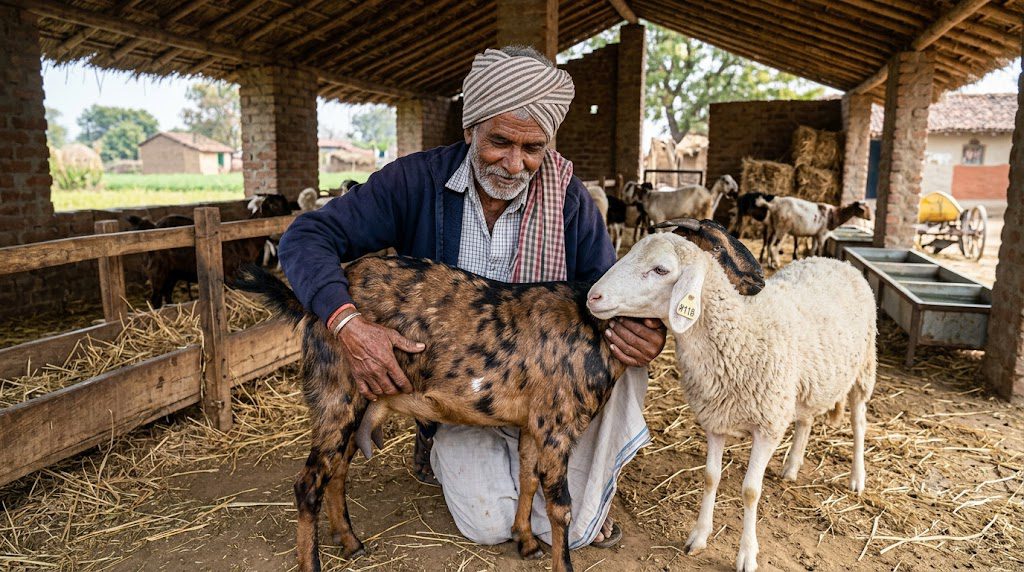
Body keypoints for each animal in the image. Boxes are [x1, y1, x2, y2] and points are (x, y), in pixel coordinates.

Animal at [233, 249, 763, 572]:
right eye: (661, 267)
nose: (756, 282)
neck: (593, 326)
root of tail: (309, 301)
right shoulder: (557, 423)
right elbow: (561, 505)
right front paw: (559, 560)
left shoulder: (534, 424)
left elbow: (527, 478)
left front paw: (524, 541)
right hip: (336, 391)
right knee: (308, 482)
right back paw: (314, 561)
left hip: (358, 401)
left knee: (336, 470)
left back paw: (350, 541)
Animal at [586, 219, 876, 572]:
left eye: (660, 269)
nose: (593, 296)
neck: (741, 330)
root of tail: (835, 260)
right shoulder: (715, 418)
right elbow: (711, 477)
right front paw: (699, 537)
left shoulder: (768, 426)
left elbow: (750, 490)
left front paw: (747, 554)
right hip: (804, 385)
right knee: (806, 419)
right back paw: (792, 467)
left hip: (864, 367)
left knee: (859, 422)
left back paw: (857, 478)